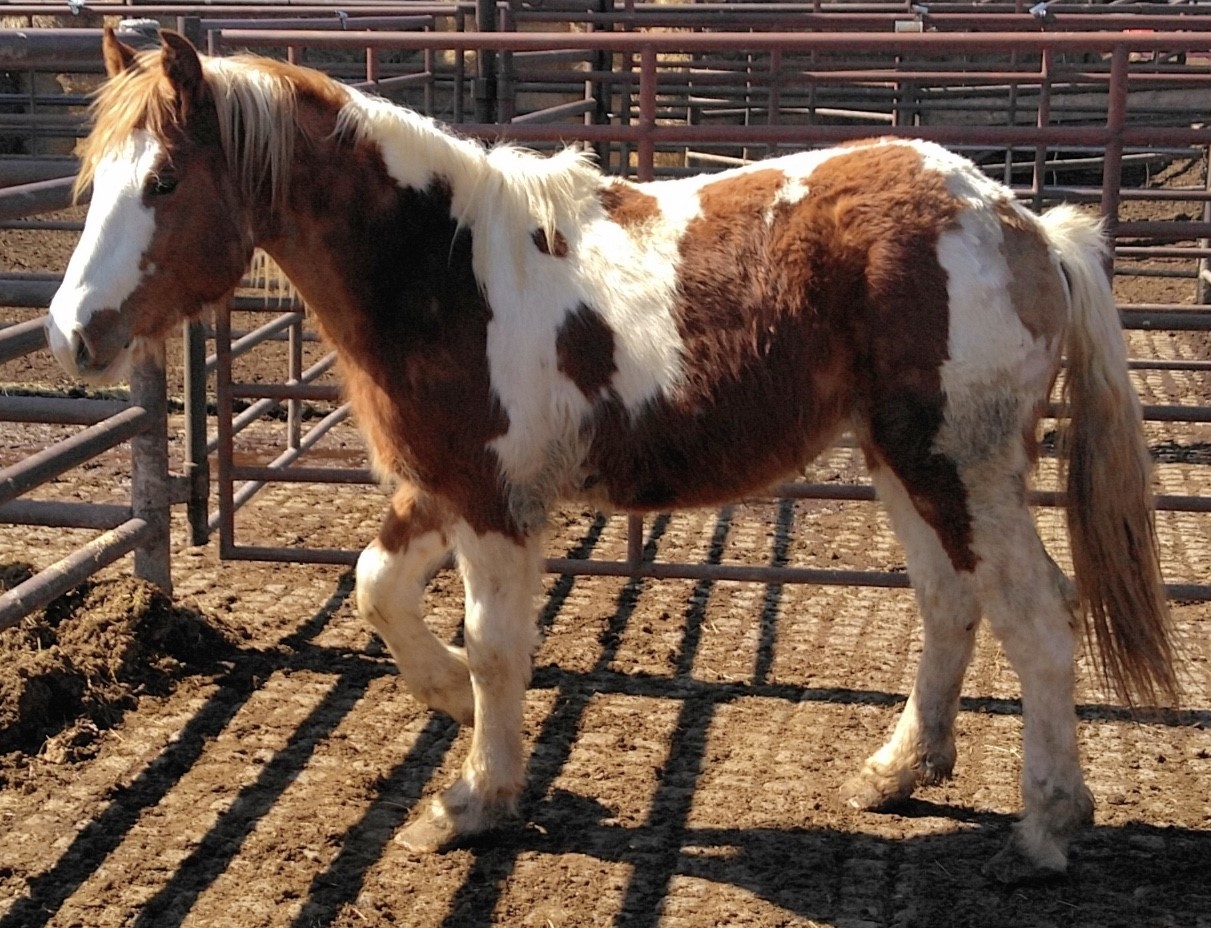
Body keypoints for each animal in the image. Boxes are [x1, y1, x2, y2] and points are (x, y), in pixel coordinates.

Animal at [46, 29, 1178, 882]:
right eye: (92, 179)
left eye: (164, 178)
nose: (69, 335)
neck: (445, 270)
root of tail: (1025, 223)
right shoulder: (446, 485)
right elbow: (376, 588)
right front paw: (447, 699)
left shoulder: (493, 503)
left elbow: (499, 645)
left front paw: (473, 797)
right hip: (905, 462)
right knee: (950, 602)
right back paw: (896, 771)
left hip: (961, 466)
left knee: (1035, 616)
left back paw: (1045, 824)